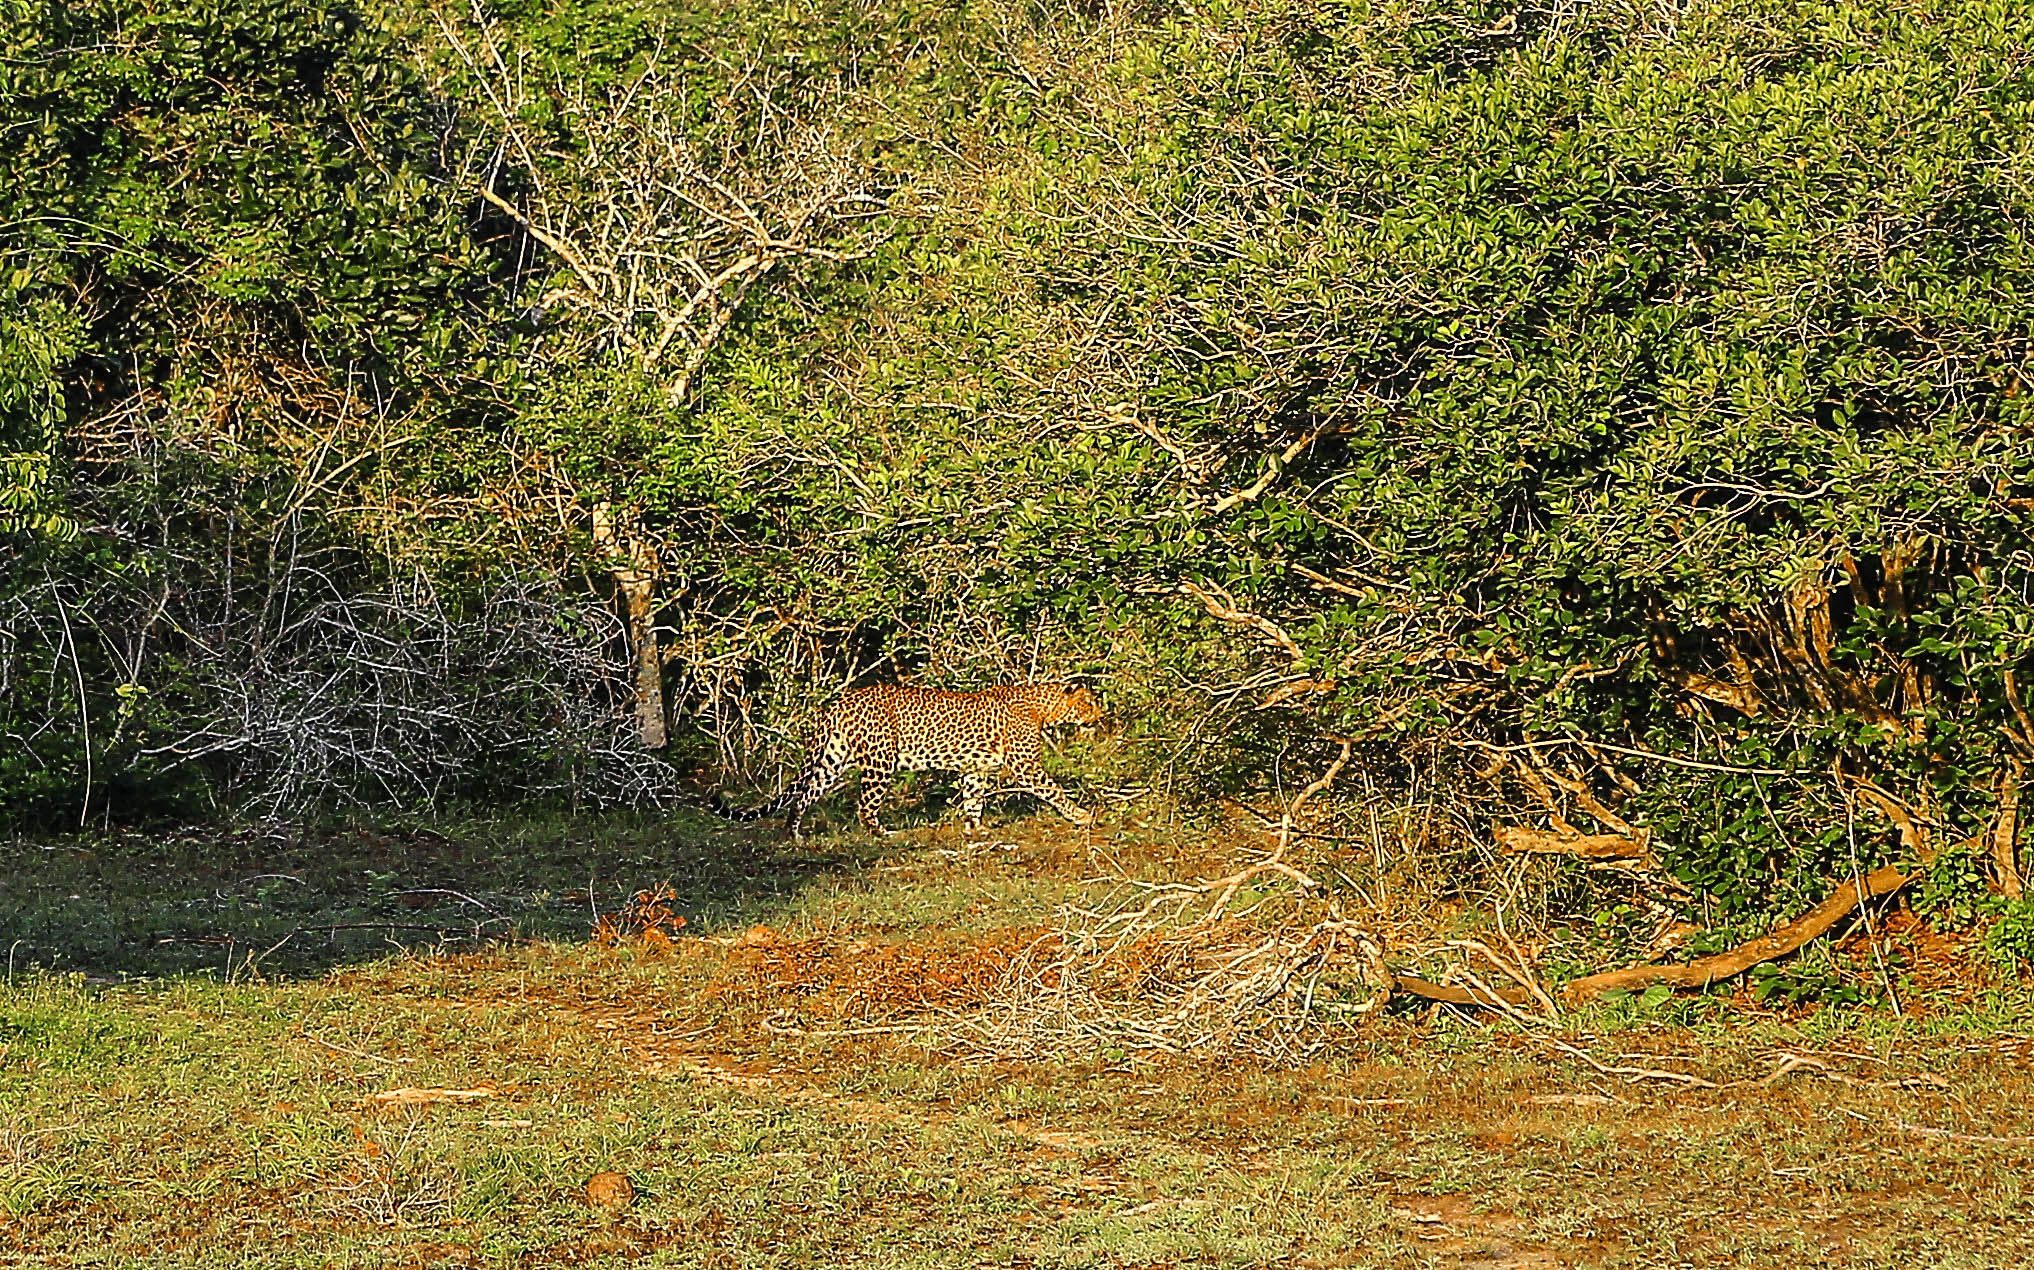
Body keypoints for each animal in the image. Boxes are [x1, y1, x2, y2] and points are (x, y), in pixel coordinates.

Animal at [711, 679, 1098, 838]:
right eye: (1089, 703)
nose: (1101, 713)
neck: (1042, 708)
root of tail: (838, 702)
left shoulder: (975, 768)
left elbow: (973, 798)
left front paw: (975, 828)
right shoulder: (1026, 765)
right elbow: (1053, 790)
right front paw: (1082, 816)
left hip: (833, 758)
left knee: (804, 795)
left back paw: (795, 835)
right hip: (880, 761)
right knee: (864, 806)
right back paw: (884, 834)